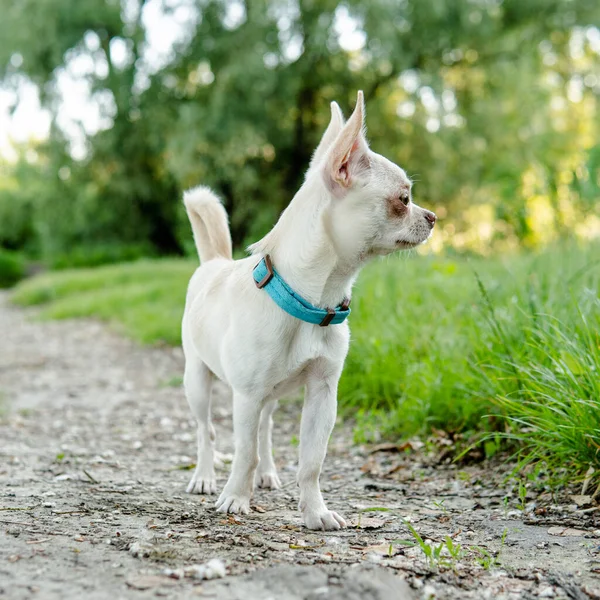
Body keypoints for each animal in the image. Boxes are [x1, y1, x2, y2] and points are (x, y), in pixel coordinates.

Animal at [180, 89, 434, 528]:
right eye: (403, 200)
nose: (433, 217)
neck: (310, 301)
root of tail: (214, 261)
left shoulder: (322, 394)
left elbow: (311, 461)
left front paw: (315, 512)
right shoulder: (245, 396)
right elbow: (242, 452)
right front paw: (235, 498)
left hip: (268, 397)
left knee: (264, 432)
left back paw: (266, 474)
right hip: (197, 381)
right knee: (207, 432)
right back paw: (205, 476)